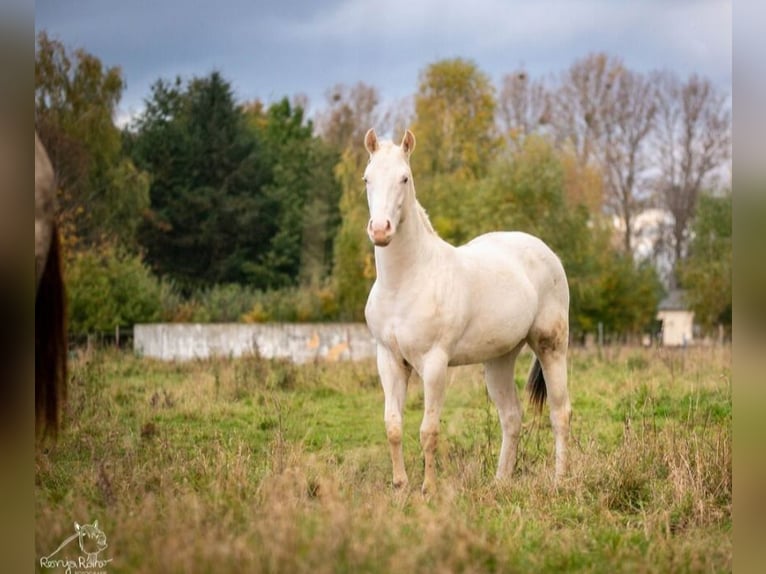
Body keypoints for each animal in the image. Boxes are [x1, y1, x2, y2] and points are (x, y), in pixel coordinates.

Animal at [364, 130, 572, 496]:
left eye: (404, 178)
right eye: (367, 178)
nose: (380, 230)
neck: (405, 281)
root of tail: (548, 253)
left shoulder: (434, 364)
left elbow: (428, 430)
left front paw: (428, 489)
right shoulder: (389, 360)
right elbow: (393, 426)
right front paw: (400, 487)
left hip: (552, 347)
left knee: (560, 412)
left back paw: (559, 481)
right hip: (499, 359)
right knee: (511, 417)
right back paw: (501, 482)